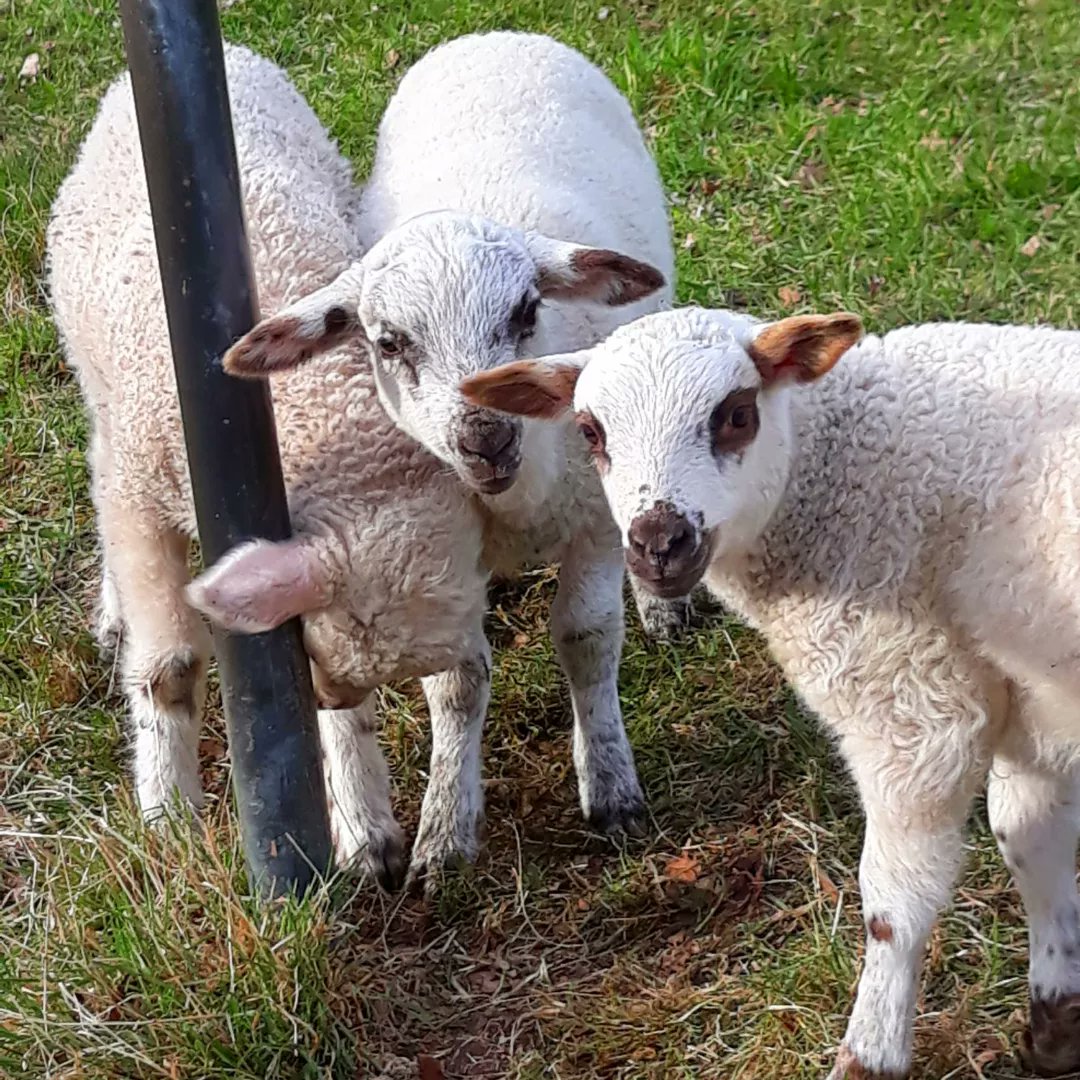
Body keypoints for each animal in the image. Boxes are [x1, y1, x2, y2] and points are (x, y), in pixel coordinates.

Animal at [47, 43, 502, 890]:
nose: (327, 691)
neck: (319, 419)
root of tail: (230, 52)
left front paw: (370, 824)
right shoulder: (143, 492)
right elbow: (169, 668)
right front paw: (170, 819)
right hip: (97, 383)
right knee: (98, 462)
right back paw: (112, 609)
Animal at [219, 30, 690, 838]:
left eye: (527, 310)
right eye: (388, 342)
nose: (486, 439)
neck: (517, 501)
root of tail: (492, 35)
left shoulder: (592, 522)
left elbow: (588, 639)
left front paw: (610, 784)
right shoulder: (436, 557)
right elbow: (457, 683)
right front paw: (446, 824)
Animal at [462, 306, 1080, 1078]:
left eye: (735, 415)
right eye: (590, 433)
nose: (657, 542)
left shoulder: (911, 701)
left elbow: (895, 903)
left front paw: (869, 1053)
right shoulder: (1027, 697)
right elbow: (1028, 838)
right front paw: (1056, 1021)